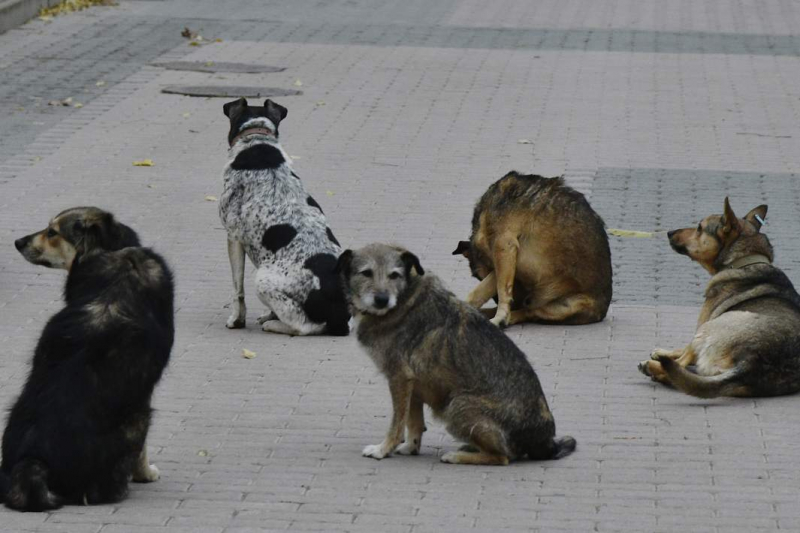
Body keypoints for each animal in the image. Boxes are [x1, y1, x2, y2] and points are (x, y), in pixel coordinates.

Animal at [3, 206, 173, 510]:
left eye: (52, 232)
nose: (18, 242)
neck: (108, 251)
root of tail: (34, 462)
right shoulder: (144, 393)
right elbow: (143, 451)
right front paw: (146, 473)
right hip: (139, 418)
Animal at [220, 97, 348, 334]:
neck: (257, 137)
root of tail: (341, 317)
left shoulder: (233, 237)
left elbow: (237, 288)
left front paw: (237, 320)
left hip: (261, 280)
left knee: (302, 326)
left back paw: (274, 325)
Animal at [338, 243, 576, 464]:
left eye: (394, 275)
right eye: (366, 273)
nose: (381, 299)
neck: (404, 299)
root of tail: (545, 442)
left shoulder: (399, 378)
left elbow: (397, 423)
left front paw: (383, 449)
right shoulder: (413, 383)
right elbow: (413, 421)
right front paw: (411, 447)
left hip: (456, 405)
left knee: (502, 457)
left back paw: (457, 456)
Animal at [456, 172, 612, 326]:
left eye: (478, 276)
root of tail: (602, 312)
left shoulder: (504, 245)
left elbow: (501, 290)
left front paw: (500, 316)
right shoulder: (505, 259)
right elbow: (480, 291)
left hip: (563, 306)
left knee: (529, 313)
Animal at [640, 197, 800, 396]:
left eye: (699, 227)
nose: (669, 232)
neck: (744, 261)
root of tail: (750, 362)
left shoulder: (702, 323)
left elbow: (685, 352)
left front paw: (662, 355)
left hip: (709, 326)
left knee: (681, 365)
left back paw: (652, 367)